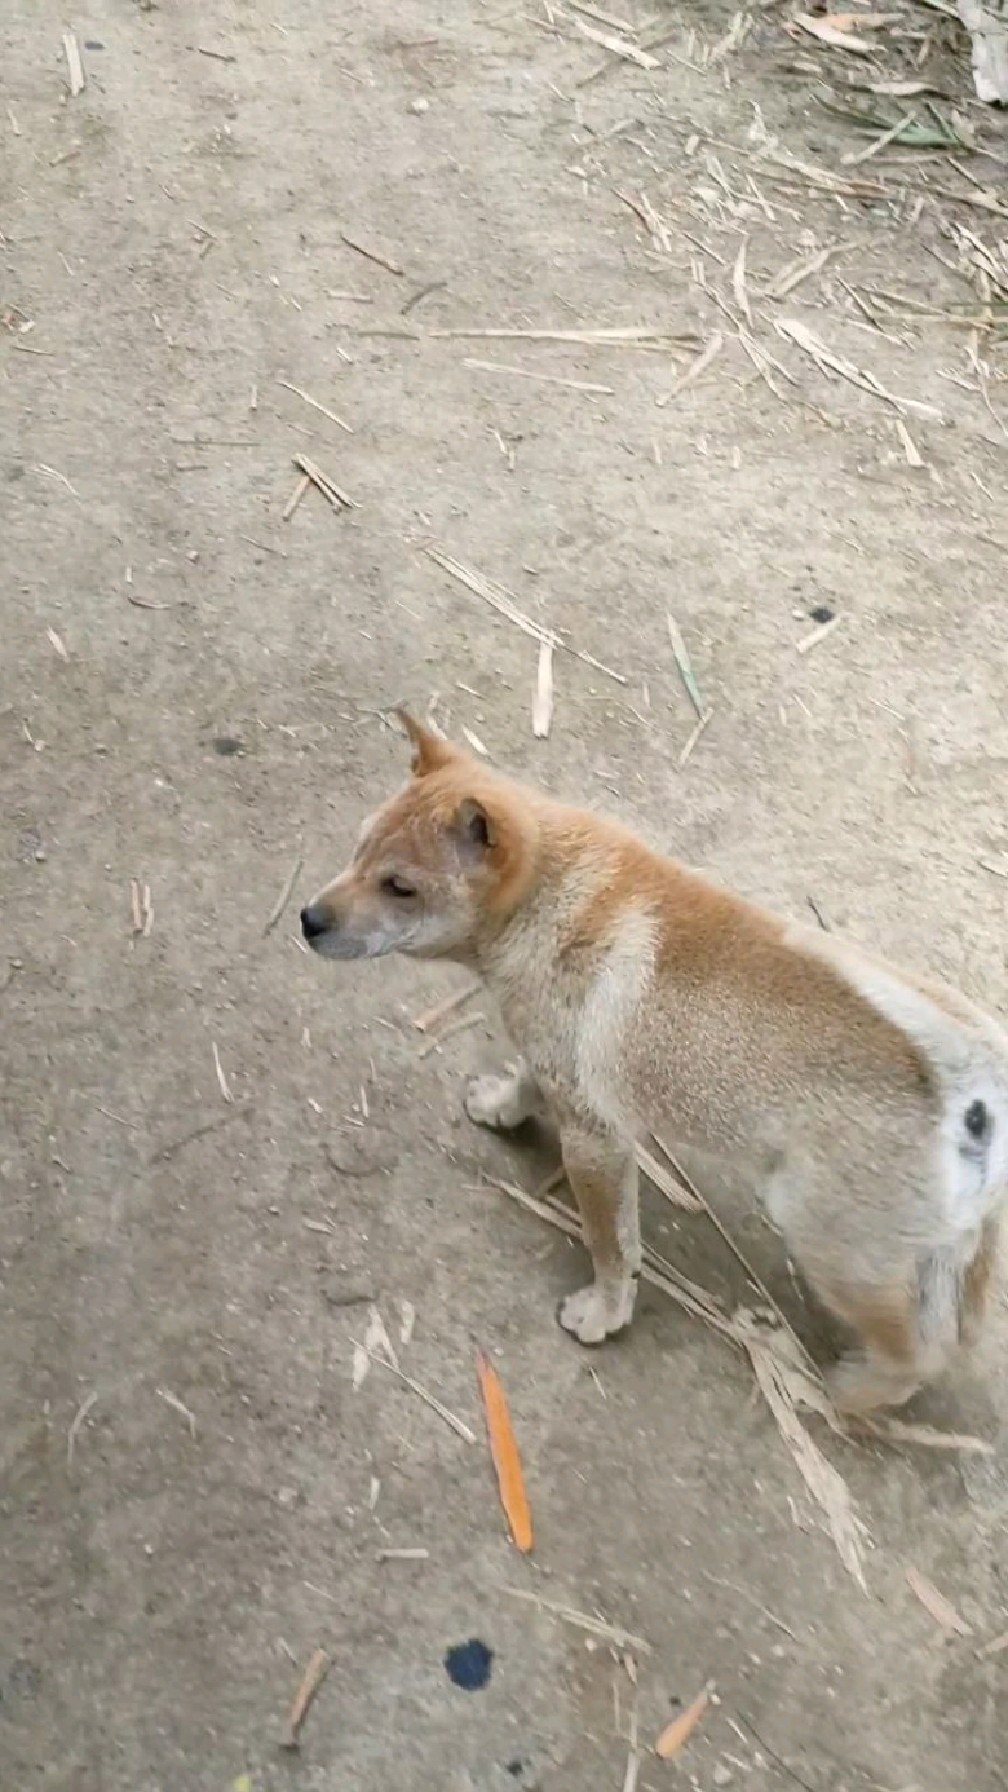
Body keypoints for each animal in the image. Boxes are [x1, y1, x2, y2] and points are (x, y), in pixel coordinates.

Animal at [299, 713, 1004, 1412]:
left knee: (917, 1352)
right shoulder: (558, 1063)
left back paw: (854, 1390)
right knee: (955, 1338)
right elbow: (526, 1081)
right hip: (934, 1252)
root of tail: (977, 1087)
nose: (307, 919)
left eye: (399, 887)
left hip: (825, 1238)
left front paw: (604, 1312)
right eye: (357, 850)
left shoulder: (597, 1142)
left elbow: (612, 1247)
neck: (554, 896)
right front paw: (501, 1108)